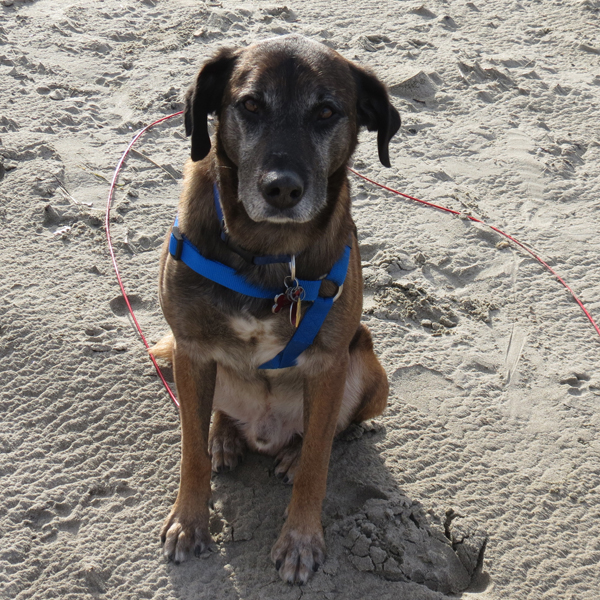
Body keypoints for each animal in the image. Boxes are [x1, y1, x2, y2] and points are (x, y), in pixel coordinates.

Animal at [151, 34, 398, 584]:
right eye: (249, 105)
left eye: (326, 111)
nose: (282, 188)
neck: (269, 252)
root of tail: (266, 431)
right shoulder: (191, 349)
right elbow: (190, 451)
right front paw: (189, 521)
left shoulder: (327, 365)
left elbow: (317, 467)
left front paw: (301, 539)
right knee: (215, 417)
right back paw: (225, 437)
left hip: (369, 372)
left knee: (327, 433)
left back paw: (289, 452)